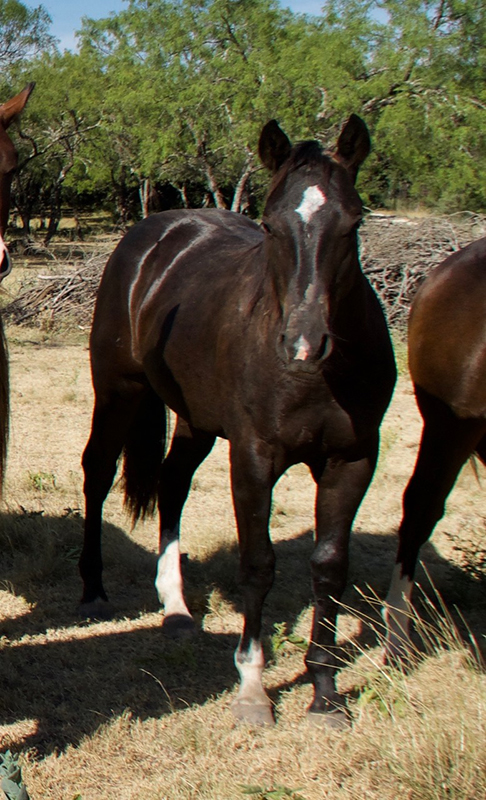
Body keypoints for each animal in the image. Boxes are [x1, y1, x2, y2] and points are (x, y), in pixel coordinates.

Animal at [81, 114, 396, 732]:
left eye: (353, 223)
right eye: (271, 225)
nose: (304, 343)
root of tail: (155, 232)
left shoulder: (352, 460)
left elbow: (330, 567)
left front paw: (325, 691)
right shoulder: (253, 456)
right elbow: (258, 563)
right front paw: (253, 688)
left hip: (197, 420)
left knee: (173, 484)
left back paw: (176, 606)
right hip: (119, 392)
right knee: (98, 472)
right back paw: (94, 589)